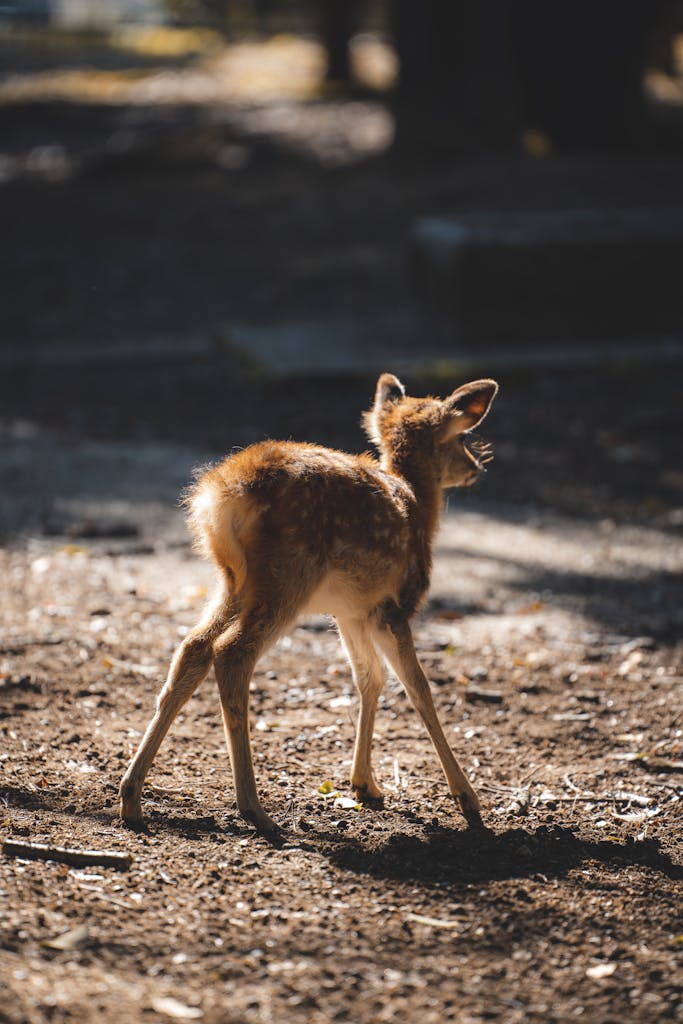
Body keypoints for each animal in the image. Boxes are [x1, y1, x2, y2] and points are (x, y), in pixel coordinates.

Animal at [119, 373, 498, 834]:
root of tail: (221, 494)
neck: (418, 508)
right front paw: (467, 800)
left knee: (194, 647)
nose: (477, 468)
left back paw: (131, 798)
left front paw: (365, 785)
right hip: (288, 574)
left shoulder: (352, 611)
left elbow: (369, 679)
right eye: (462, 437)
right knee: (232, 653)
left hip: (233, 580)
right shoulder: (392, 607)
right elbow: (418, 688)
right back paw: (254, 809)